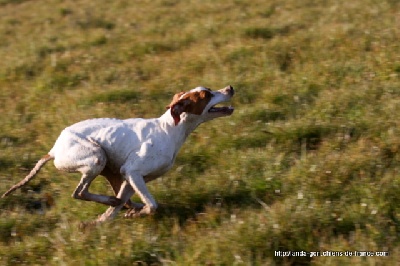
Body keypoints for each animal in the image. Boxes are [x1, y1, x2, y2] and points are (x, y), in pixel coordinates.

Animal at [1, 85, 234, 222]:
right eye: (207, 95)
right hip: (97, 157)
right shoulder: (132, 172)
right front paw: (138, 211)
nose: (230, 88)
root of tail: (54, 150)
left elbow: (118, 209)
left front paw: (113, 217)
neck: (168, 129)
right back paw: (114, 202)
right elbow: (152, 205)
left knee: (113, 198)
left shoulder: (131, 178)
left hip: (109, 169)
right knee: (79, 193)